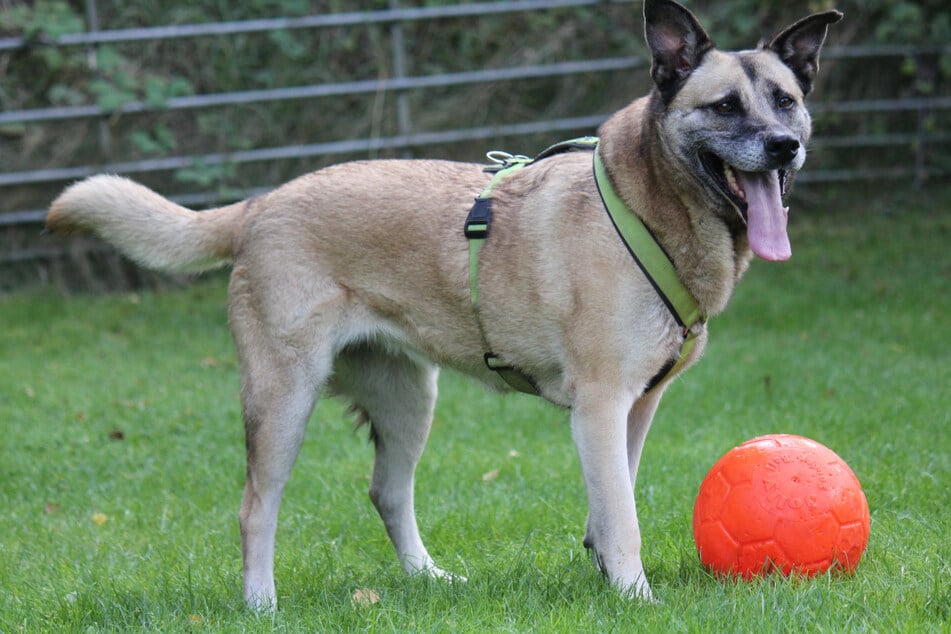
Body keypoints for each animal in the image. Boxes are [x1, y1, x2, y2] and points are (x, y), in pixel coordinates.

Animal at [48, 0, 844, 604]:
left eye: (786, 100)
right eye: (724, 106)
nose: (782, 145)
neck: (646, 205)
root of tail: (260, 205)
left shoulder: (636, 408)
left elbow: (611, 501)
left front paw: (605, 575)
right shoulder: (599, 405)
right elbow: (622, 518)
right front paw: (634, 598)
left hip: (408, 398)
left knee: (386, 491)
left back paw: (427, 578)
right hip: (283, 400)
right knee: (255, 509)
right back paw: (261, 606)